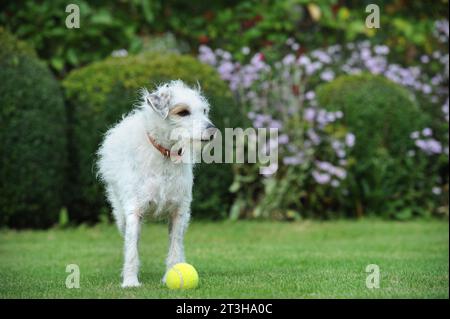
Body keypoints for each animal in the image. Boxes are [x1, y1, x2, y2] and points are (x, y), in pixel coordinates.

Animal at [96, 79, 218, 288]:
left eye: (204, 110)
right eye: (183, 112)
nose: (212, 131)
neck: (165, 155)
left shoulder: (179, 213)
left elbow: (175, 247)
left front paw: (171, 272)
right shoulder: (134, 212)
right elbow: (131, 250)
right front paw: (130, 281)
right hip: (121, 216)